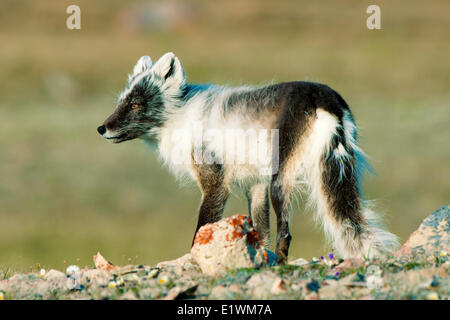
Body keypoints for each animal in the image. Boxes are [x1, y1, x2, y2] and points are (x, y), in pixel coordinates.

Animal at [97, 52, 398, 262]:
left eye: (136, 105)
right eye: (121, 102)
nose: (101, 128)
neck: (182, 117)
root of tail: (325, 98)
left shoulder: (217, 183)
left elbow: (201, 229)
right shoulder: (255, 184)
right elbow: (260, 233)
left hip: (280, 180)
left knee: (286, 233)